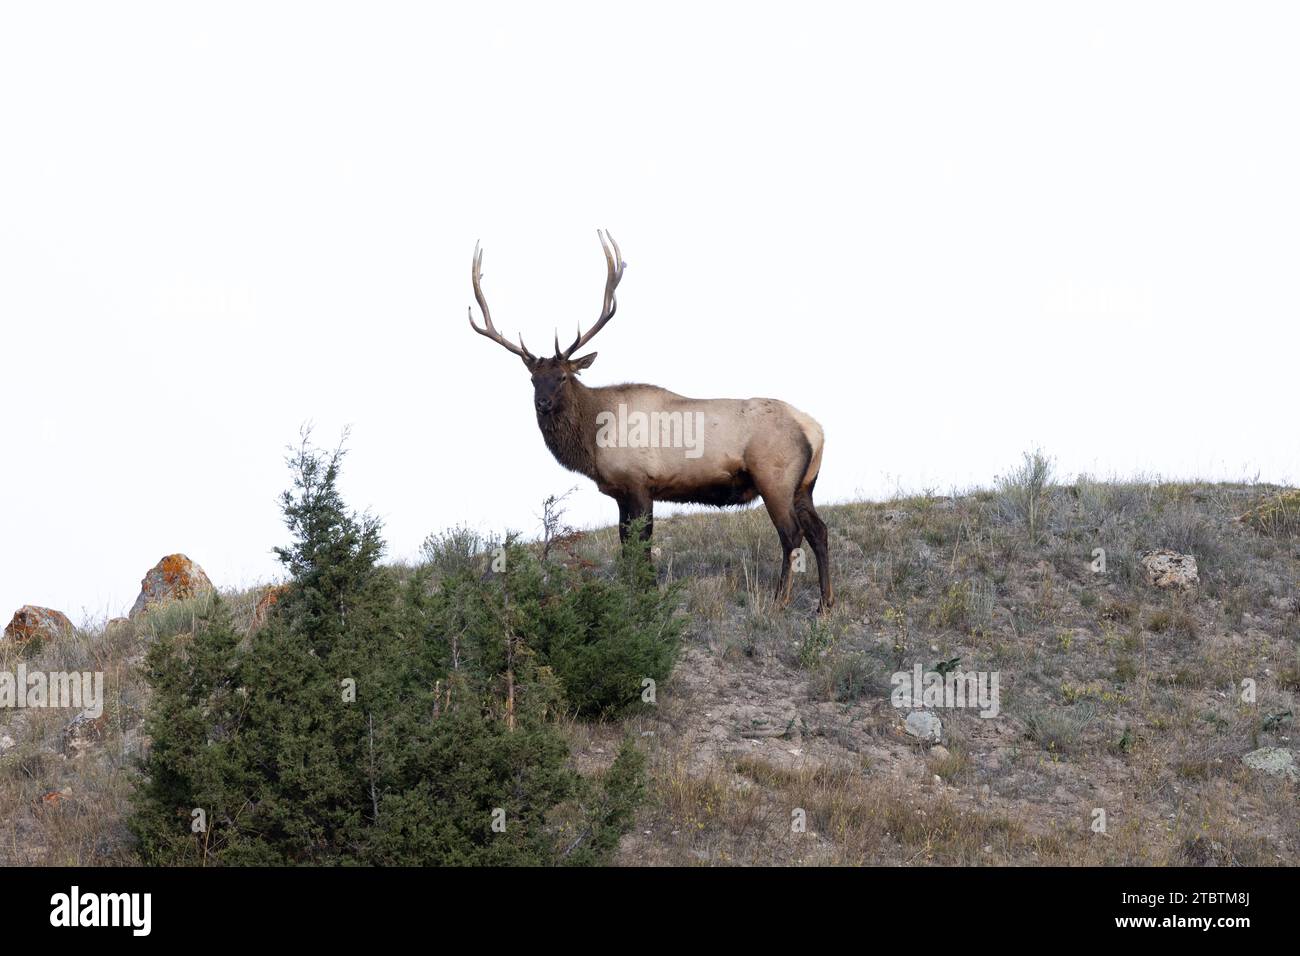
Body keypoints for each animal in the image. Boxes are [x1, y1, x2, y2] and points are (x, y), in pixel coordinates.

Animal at [467, 231, 832, 613]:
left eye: (563, 376)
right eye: (533, 379)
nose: (543, 403)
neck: (594, 440)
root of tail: (815, 430)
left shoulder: (639, 483)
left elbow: (641, 544)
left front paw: (650, 596)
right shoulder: (619, 492)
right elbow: (625, 544)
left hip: (775, 479)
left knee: (792, 534)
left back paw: (780, 599)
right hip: (805, 484)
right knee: (819, 530)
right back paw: (825, 604)